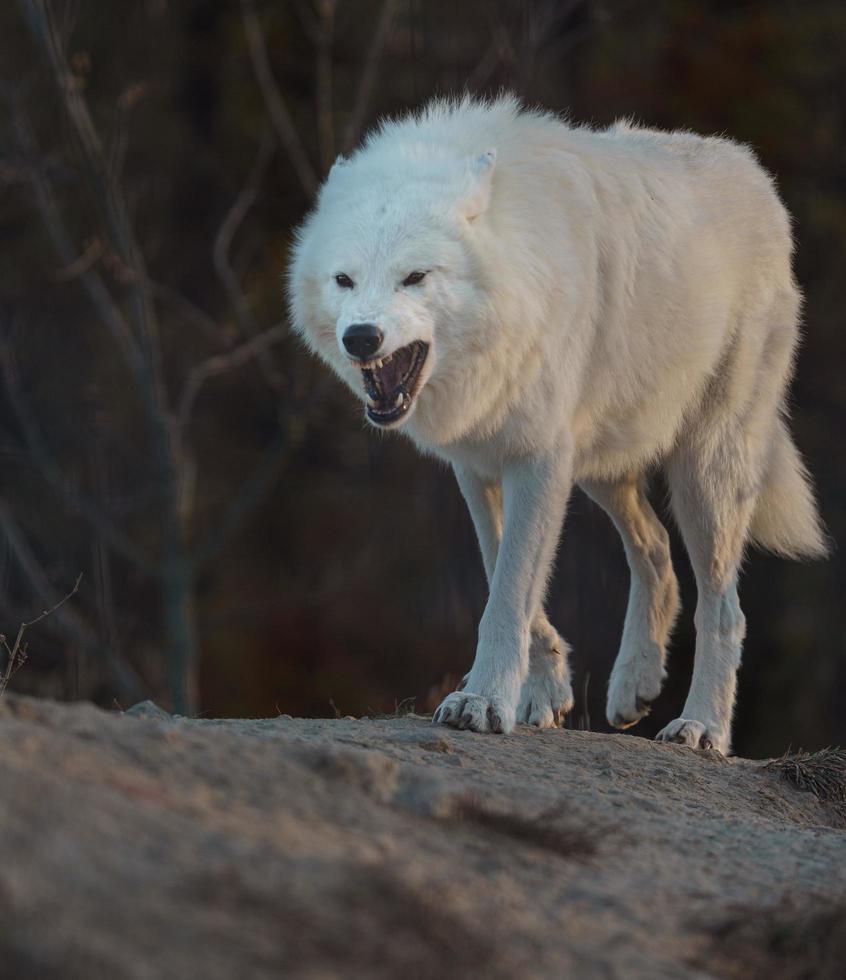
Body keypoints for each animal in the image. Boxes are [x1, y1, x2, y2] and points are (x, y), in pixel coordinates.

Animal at [290, 94, 828, 752]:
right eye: (343, 280)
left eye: (414, 277)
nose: (361, 337)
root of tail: (752, 170)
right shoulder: (479, 462)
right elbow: (502, 569)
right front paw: (543, 691)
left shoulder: (539, 457)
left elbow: (509, 590)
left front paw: (482, 701)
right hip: (601, 464)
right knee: (656, 550)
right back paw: (633, 688)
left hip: (705, 472)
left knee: (724, 609)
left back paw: (702, 727)